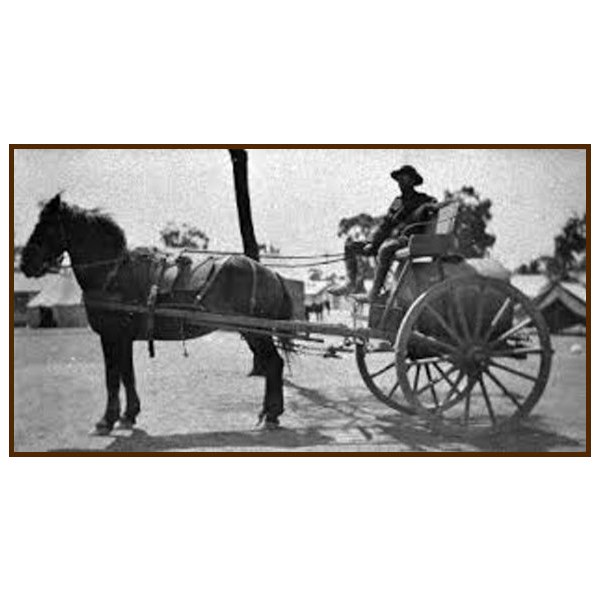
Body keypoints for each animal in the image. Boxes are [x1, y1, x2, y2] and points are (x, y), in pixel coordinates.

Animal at [21, 195, 296, 434]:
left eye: (45, 227)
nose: (25, 264)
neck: (113, 273)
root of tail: (272, 274)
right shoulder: (123, 339)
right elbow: (127, 375)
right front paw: (128, 416)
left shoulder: (111, 336)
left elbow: (112, 378)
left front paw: (106, 421)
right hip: (253, 332)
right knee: (273, 365)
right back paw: (268, 414)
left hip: (256, 333)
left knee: (274, 364)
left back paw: (271, 416)